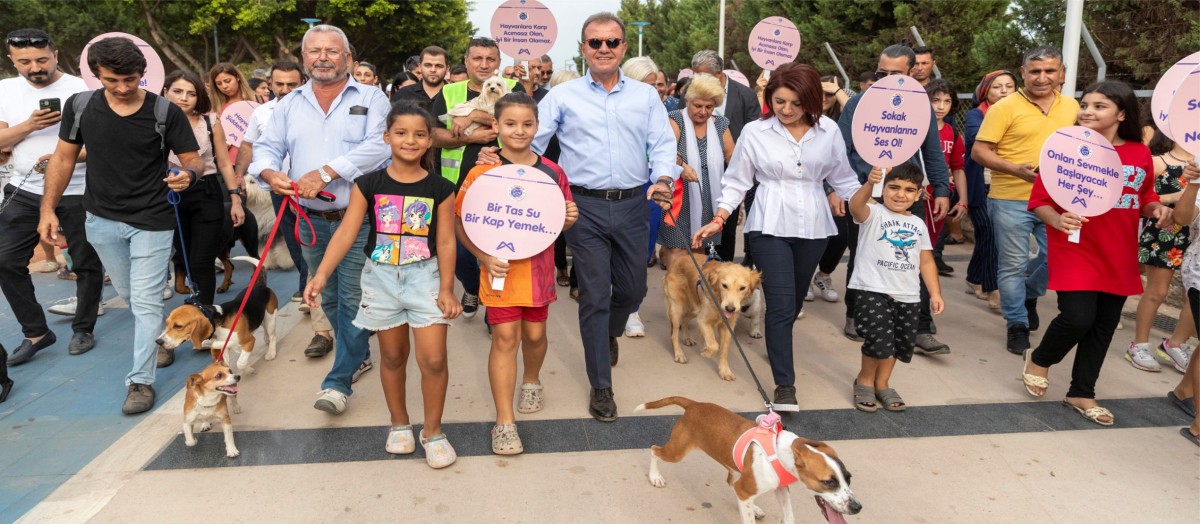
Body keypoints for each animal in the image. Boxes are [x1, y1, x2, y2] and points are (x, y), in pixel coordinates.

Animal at [638, 395, 864, 522]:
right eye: (828, 482)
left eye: (849, 478)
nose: (857, 507)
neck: (779, 452)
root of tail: (694, 405)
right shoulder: (750, 488)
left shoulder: (781, 488)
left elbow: (789, 516)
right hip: (677, 452)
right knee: (654, 449)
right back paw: (655, 477)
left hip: (735, 469)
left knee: (732, 483)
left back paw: (754, 507)